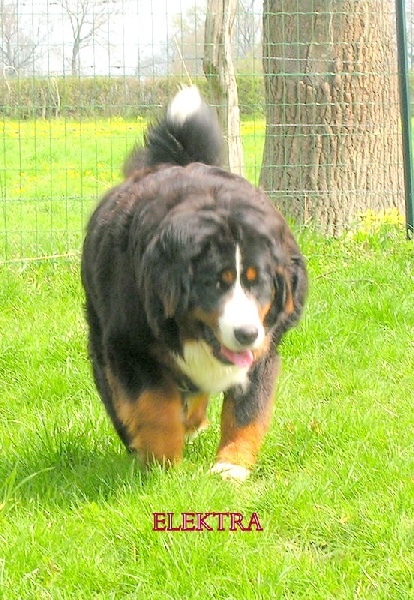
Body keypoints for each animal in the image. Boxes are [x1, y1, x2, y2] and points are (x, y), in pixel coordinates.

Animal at [81, 86, 308, 481]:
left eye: (258, 282)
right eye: (215, 283)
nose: (246, 334)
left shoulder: (265, 347)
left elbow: (246, 412)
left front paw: (231, 466)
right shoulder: (130, 344)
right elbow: (154, 406)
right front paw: (163, 464)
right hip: (101, 337)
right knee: (120, 398)